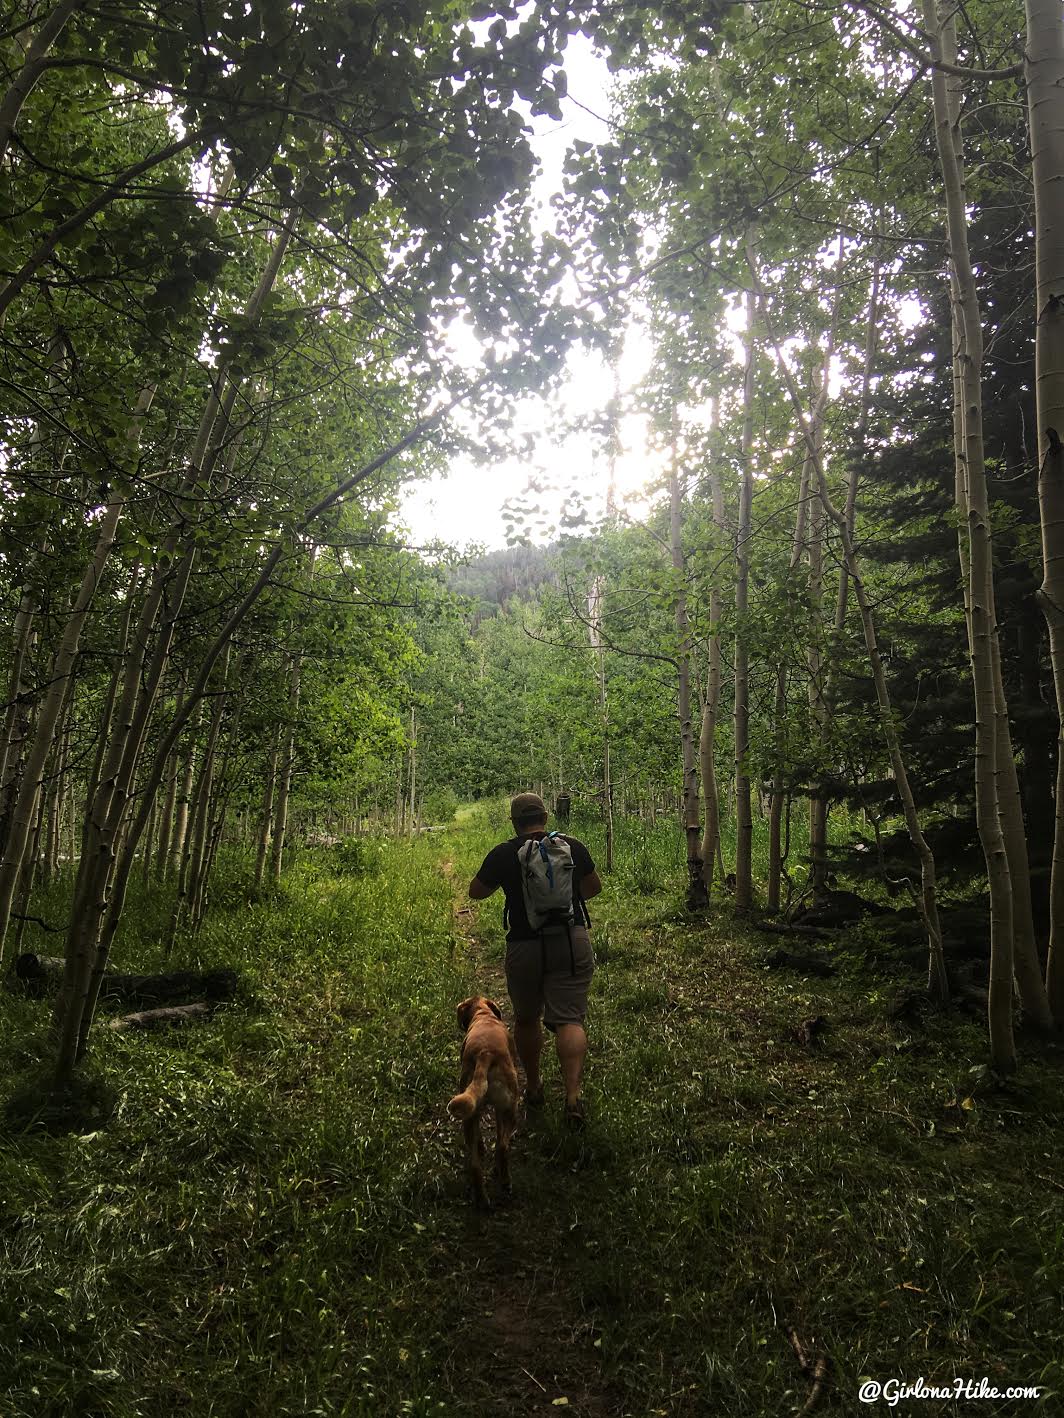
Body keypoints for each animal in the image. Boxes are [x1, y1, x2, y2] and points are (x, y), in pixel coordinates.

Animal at [445, 998, 522, 1208]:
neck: (483, 1014)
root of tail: (485, 1054)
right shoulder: (500, 1110)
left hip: (469, 1116)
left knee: (475, 1165)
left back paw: (481, 1199)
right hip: (511, 1109)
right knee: (502, 1147)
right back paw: (505, 1181)